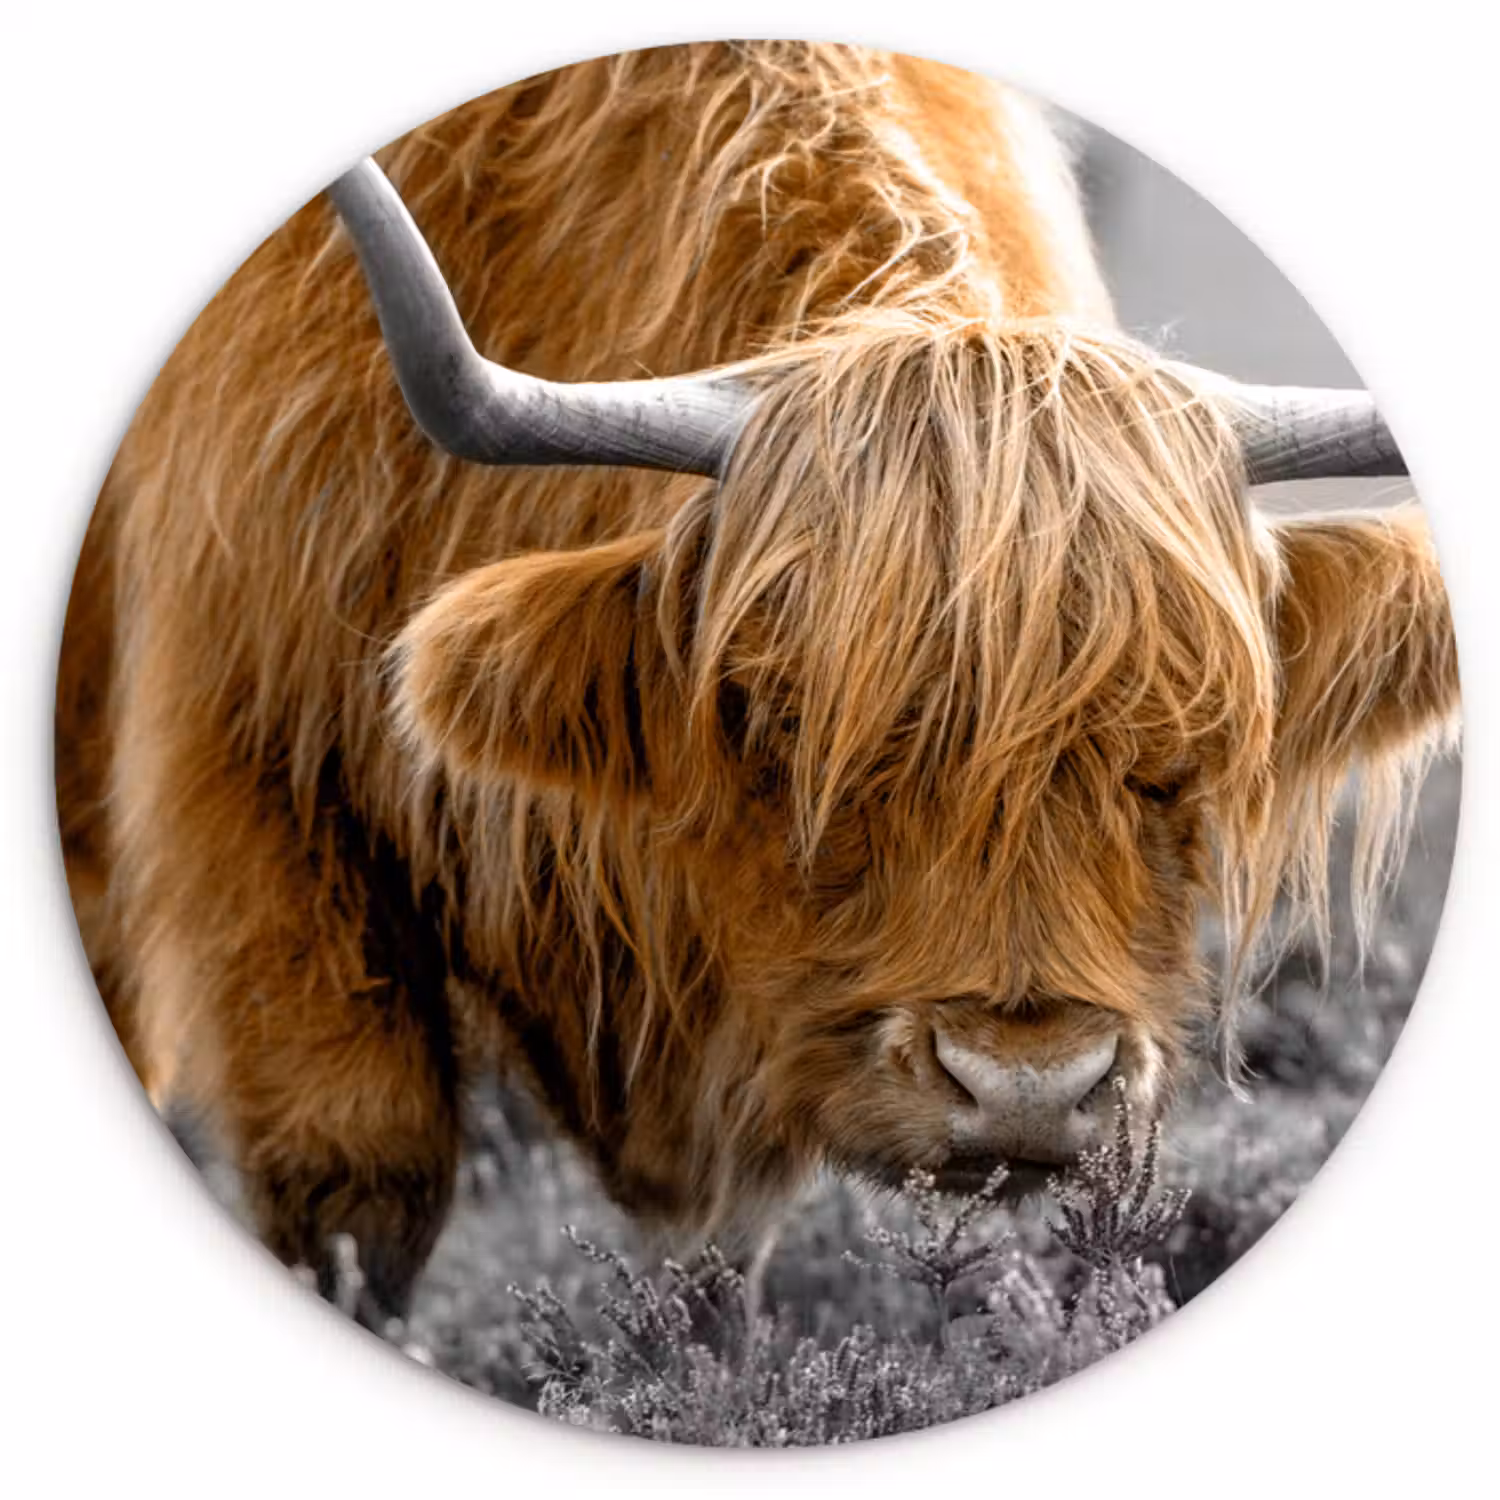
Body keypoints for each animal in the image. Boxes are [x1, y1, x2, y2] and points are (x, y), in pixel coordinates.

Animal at [54, 41, 1459, 1328]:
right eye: (784, 721)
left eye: (1182, 749)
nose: (1025, 1086)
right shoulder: (255, 779)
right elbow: (358, 1181)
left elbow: (729, 1272)